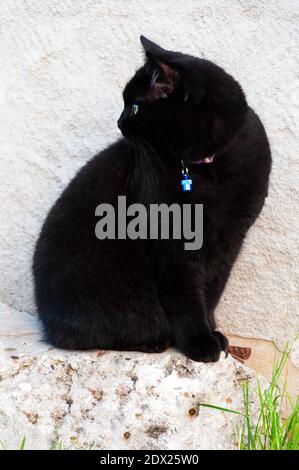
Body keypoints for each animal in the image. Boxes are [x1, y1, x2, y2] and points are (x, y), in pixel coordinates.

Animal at [32, 36, 272, 362]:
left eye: (133, 106)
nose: (119, 121)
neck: (209, 168)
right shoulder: (172, 243)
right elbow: (185, 296)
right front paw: (199, 341)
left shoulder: (231, 238)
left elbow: (213, 290)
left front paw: (213, 332)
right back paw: (154, 340)